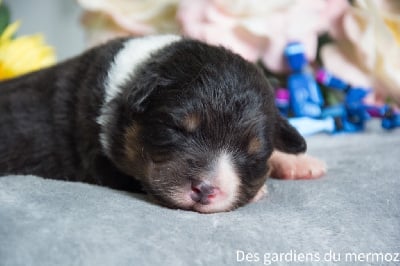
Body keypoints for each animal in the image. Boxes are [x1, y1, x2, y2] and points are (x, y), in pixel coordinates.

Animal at [0, 35, 324, 214]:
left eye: (253, 154)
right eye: (176, 129)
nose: (205, 190)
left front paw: (299, 161)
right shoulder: (103, 162)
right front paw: (259, 190)